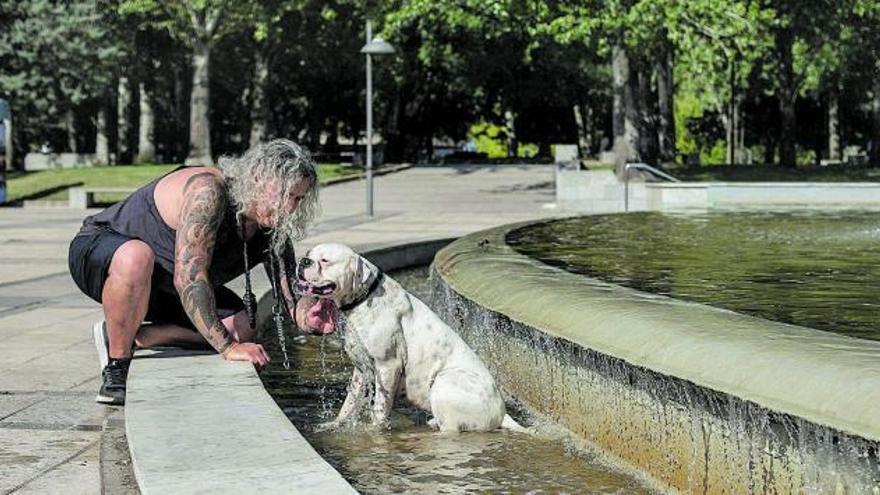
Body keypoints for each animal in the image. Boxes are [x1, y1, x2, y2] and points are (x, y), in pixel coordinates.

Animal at [300, 244, 524, 434]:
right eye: (309, 254)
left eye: (325, 260)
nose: (303, 261)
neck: (365, 297)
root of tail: (503, 413)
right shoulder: (361, 370)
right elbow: (349, 403)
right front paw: (335, 424)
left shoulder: (387, 366)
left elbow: (380, 408)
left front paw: (375, 431)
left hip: (445, 380)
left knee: (450, 429)